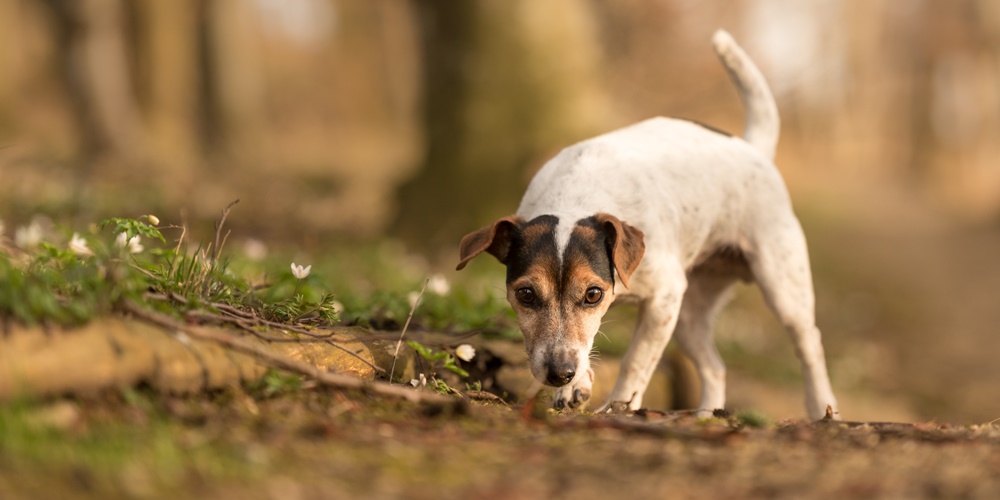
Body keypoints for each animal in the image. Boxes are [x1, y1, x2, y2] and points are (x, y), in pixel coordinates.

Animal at [458, 30, 840, 422]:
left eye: (593, 294)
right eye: (525, 294)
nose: (559, 373)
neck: (575, 196)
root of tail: (753, 148)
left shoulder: (661, 300)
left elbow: (635, 362)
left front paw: (619, 407)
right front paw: (575, 386)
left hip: (781, 289)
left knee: (810, 345)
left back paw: (823, 409)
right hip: (688, 314)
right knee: (715, 367)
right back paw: (705, 415)